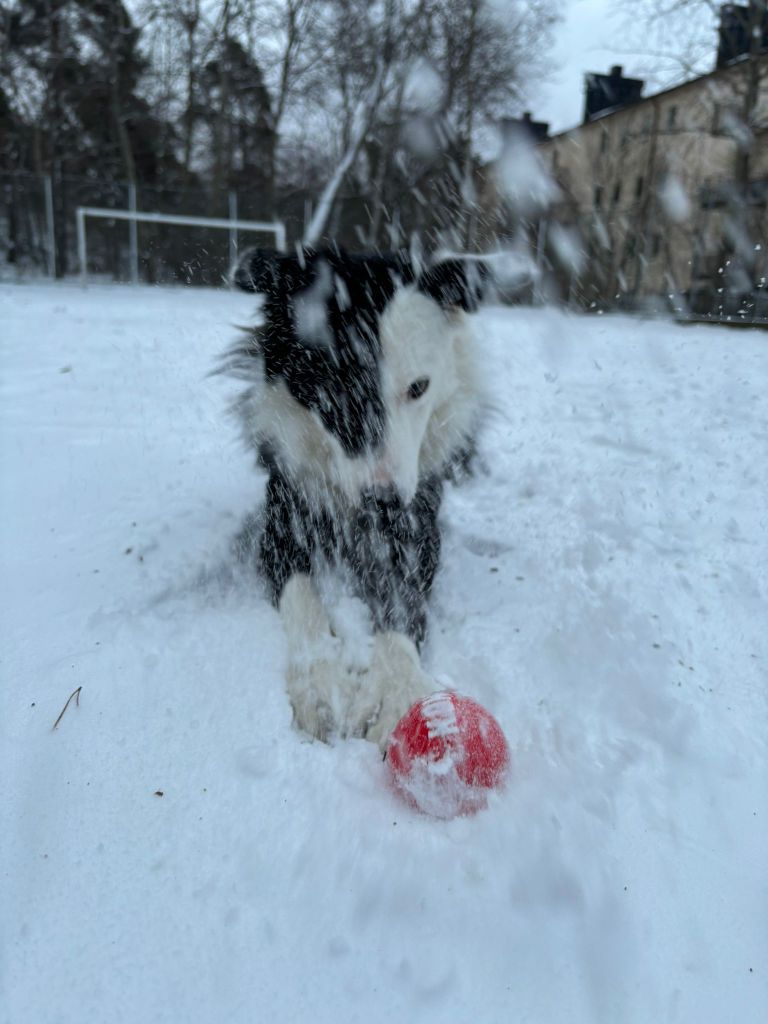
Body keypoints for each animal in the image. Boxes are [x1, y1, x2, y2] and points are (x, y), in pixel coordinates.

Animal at [222, 244, 487, 749]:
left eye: (418, 387)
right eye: (334, 393)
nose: (383, 501)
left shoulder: (416, 519)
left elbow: (403, 599)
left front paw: (393, 686)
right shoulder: (284, 515)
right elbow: (301, 593)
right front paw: (321, 682)